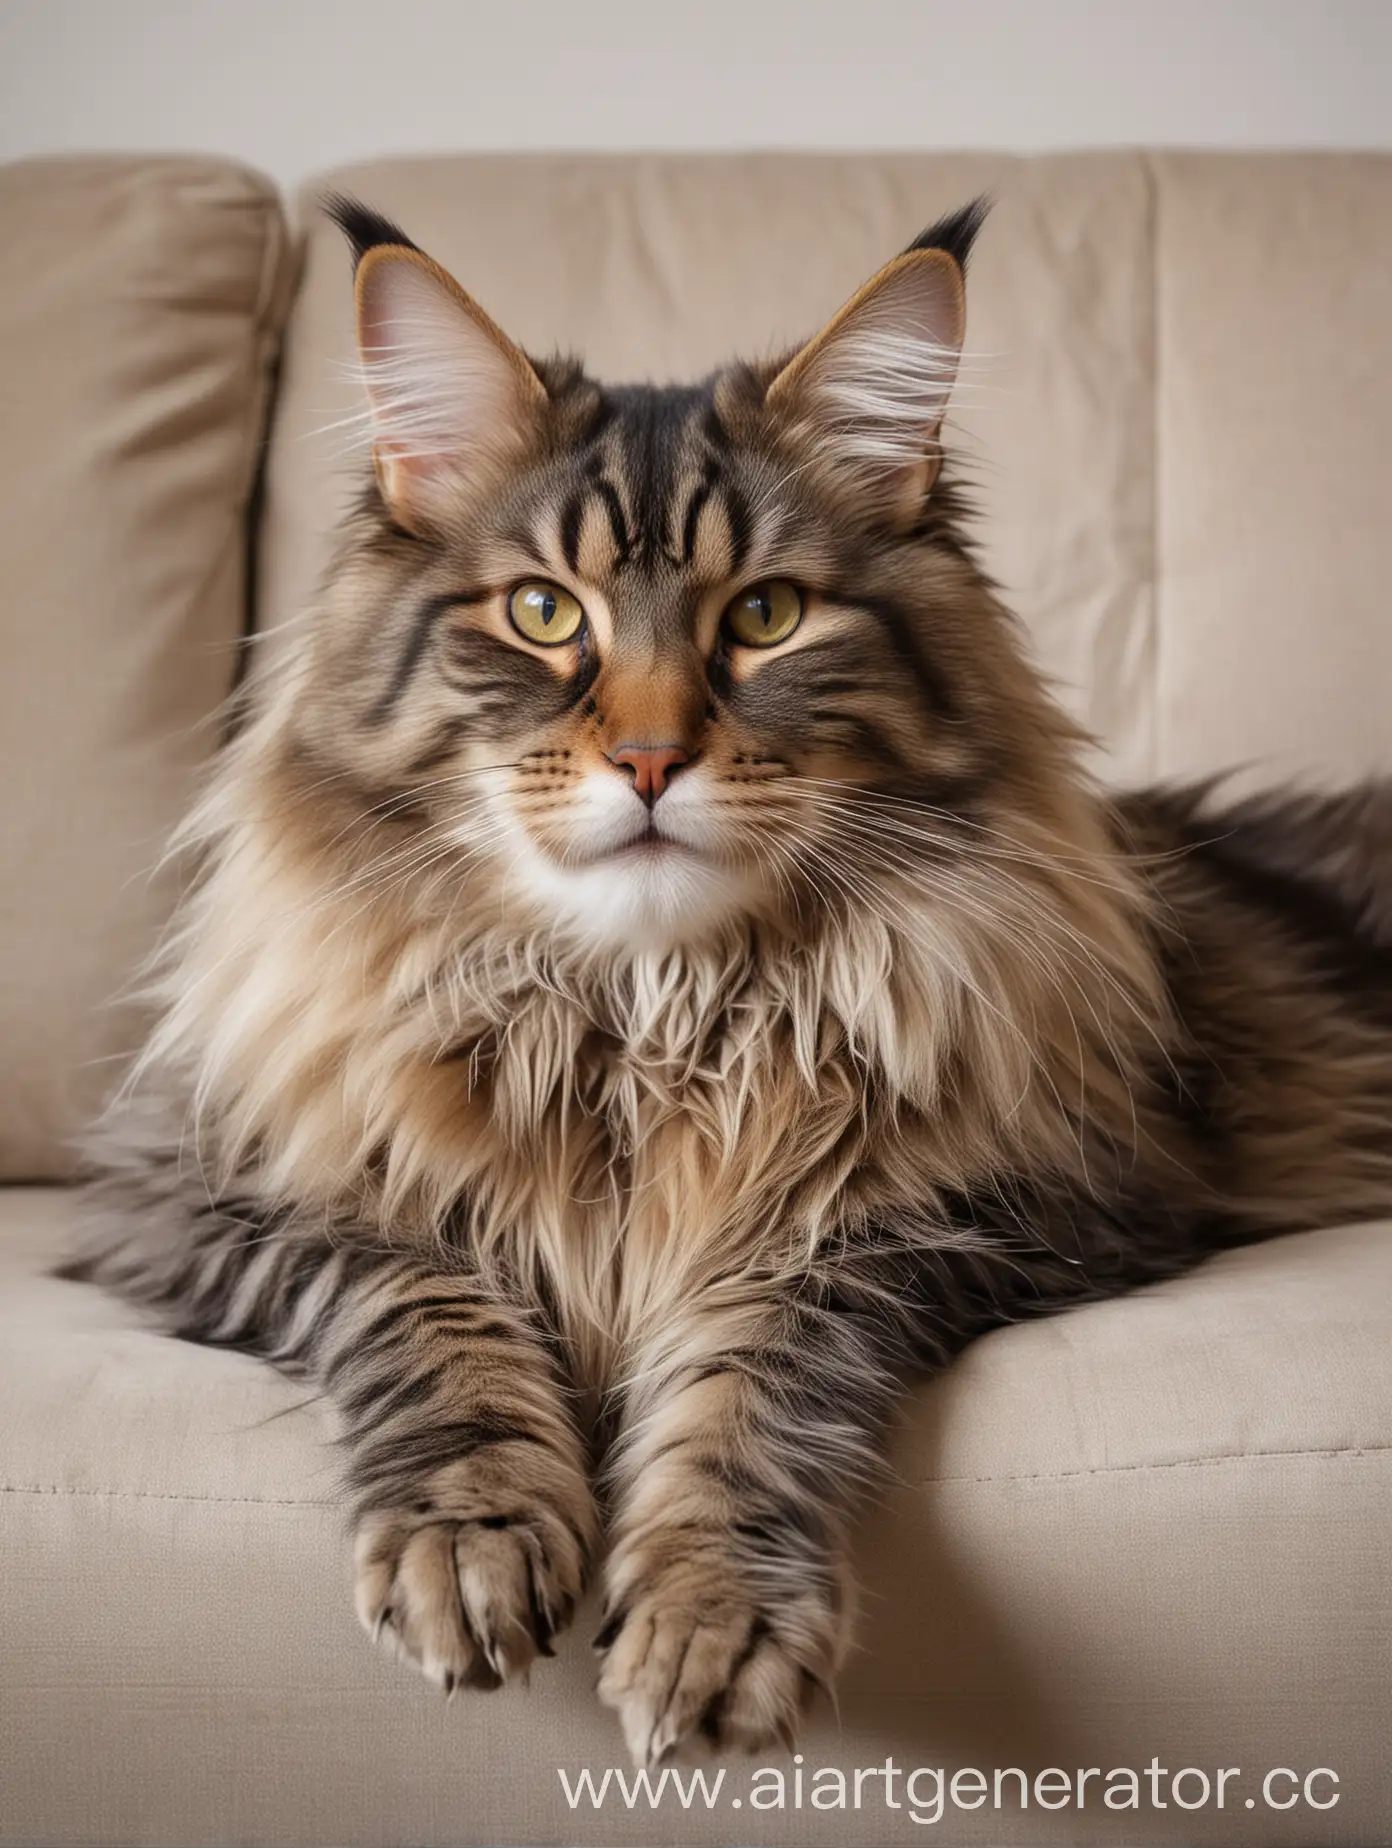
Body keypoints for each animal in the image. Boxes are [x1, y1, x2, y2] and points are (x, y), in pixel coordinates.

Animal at [62, 194, 1390, 1766]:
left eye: (765, 616)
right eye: (541, 612)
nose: (648, 760)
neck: (647, 1015)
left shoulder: (1004, 1207)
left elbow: (753, 1367)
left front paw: (710, 1613)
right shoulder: (194, 1183)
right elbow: (426, 1295)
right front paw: (469, 1538)